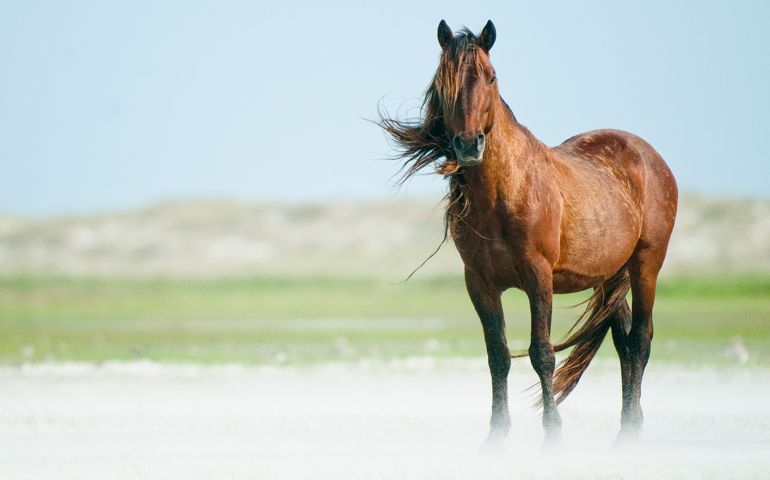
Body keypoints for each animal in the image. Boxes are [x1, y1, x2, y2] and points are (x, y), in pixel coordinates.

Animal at [379, 20, 678, 447]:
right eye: (443, 81)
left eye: (490, 77)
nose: (468, 145)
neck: (503, 193)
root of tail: (647, 154)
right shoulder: (480, 282)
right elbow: (498, 355)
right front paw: (496, 435)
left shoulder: (539, 275)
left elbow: (542, 353)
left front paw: (552, 433)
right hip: (608, 275)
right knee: (623, 341)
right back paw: (625, 427)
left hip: (646, 264)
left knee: (640, 338)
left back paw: (630, 433)